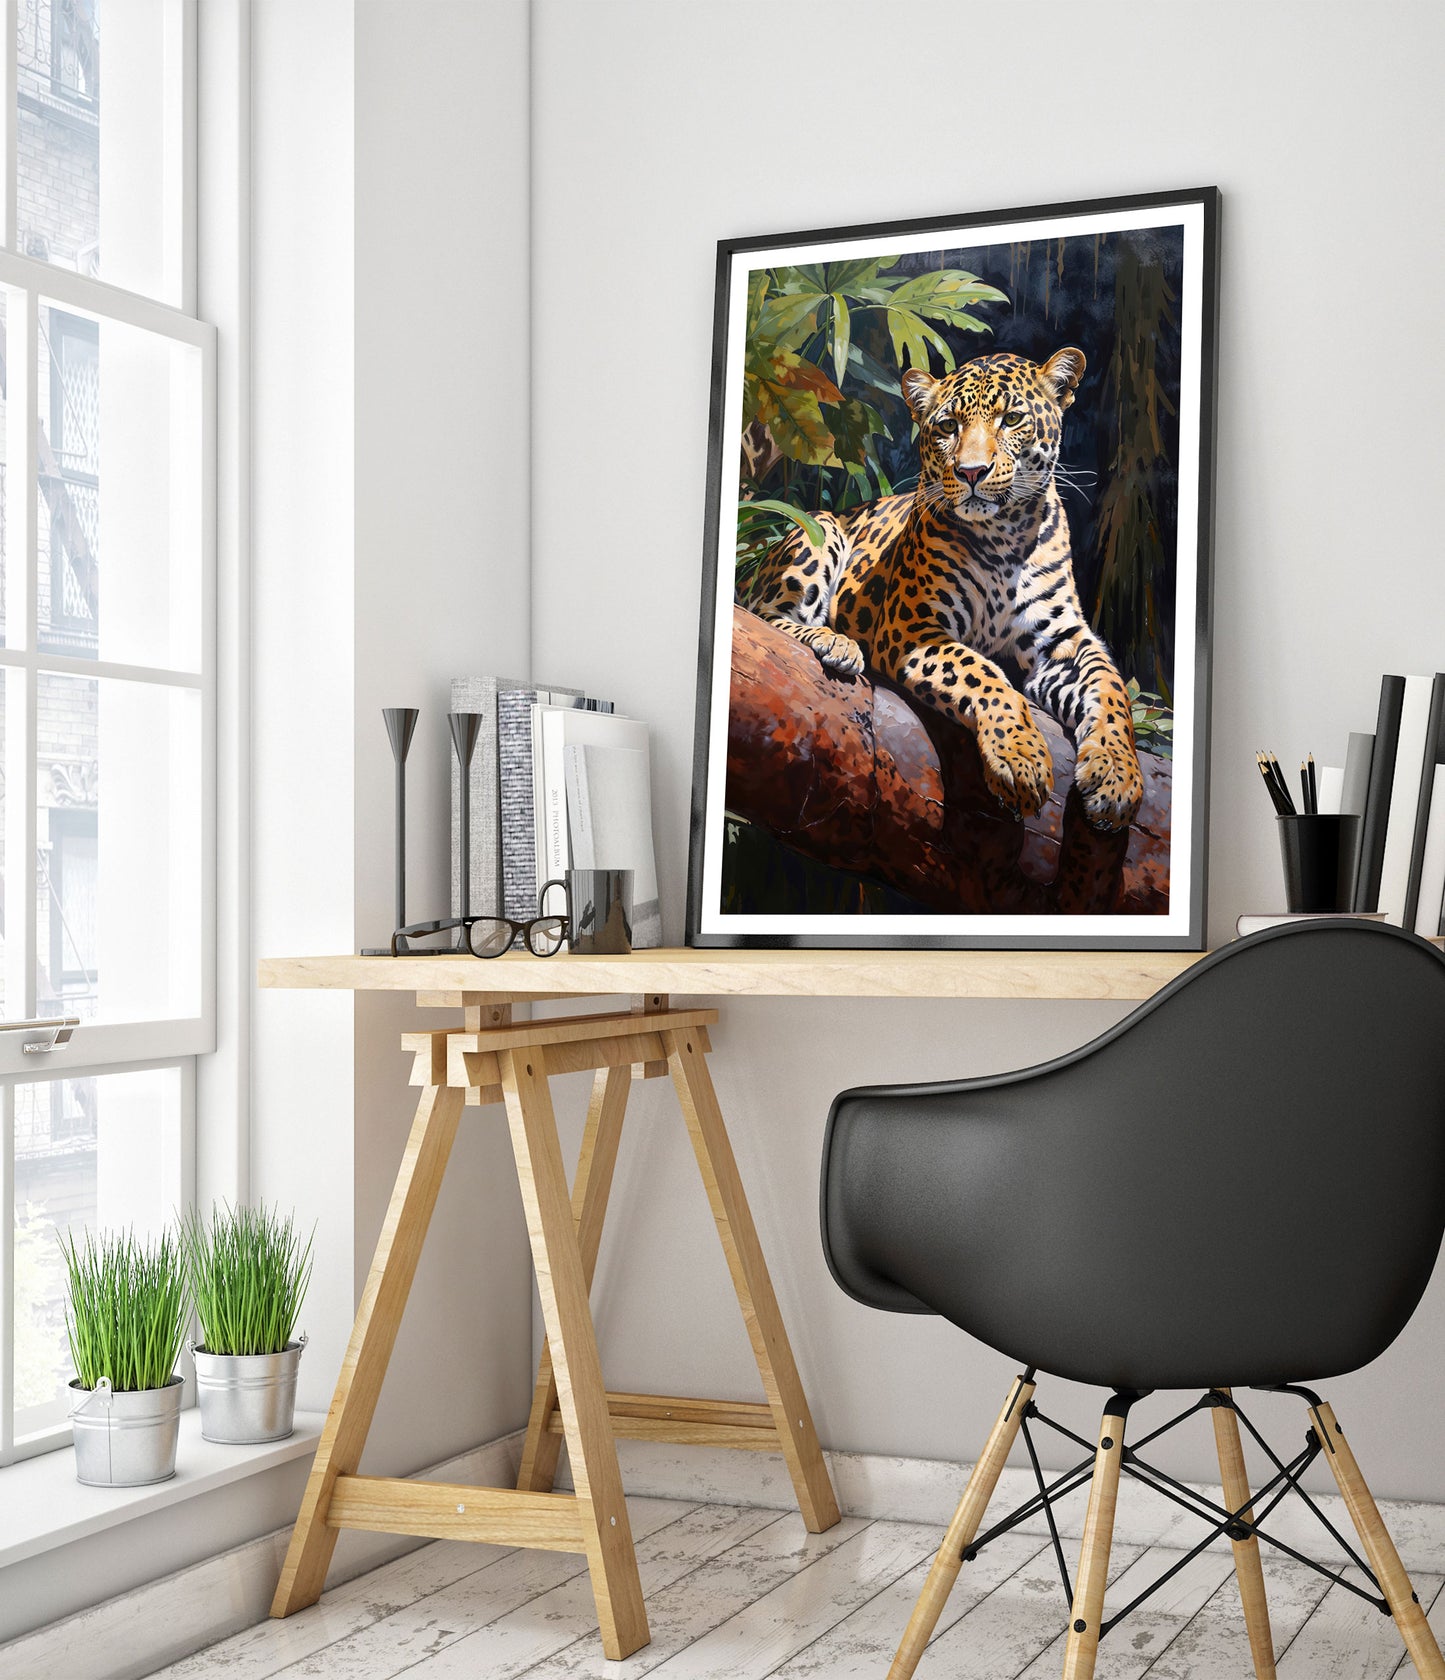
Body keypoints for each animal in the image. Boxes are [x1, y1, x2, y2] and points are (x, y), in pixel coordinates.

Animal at [740, 346, 1144, 833]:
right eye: (948, 426)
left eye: (1012, 419)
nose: (972, 472)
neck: (1005, 535)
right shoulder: (912, 628)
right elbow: (982, 671)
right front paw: (1019, 757)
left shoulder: (1062, 642)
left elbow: (1111, 689)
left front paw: (1117, 777)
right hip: (819, 527)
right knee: (765, 614)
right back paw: (834, 642)